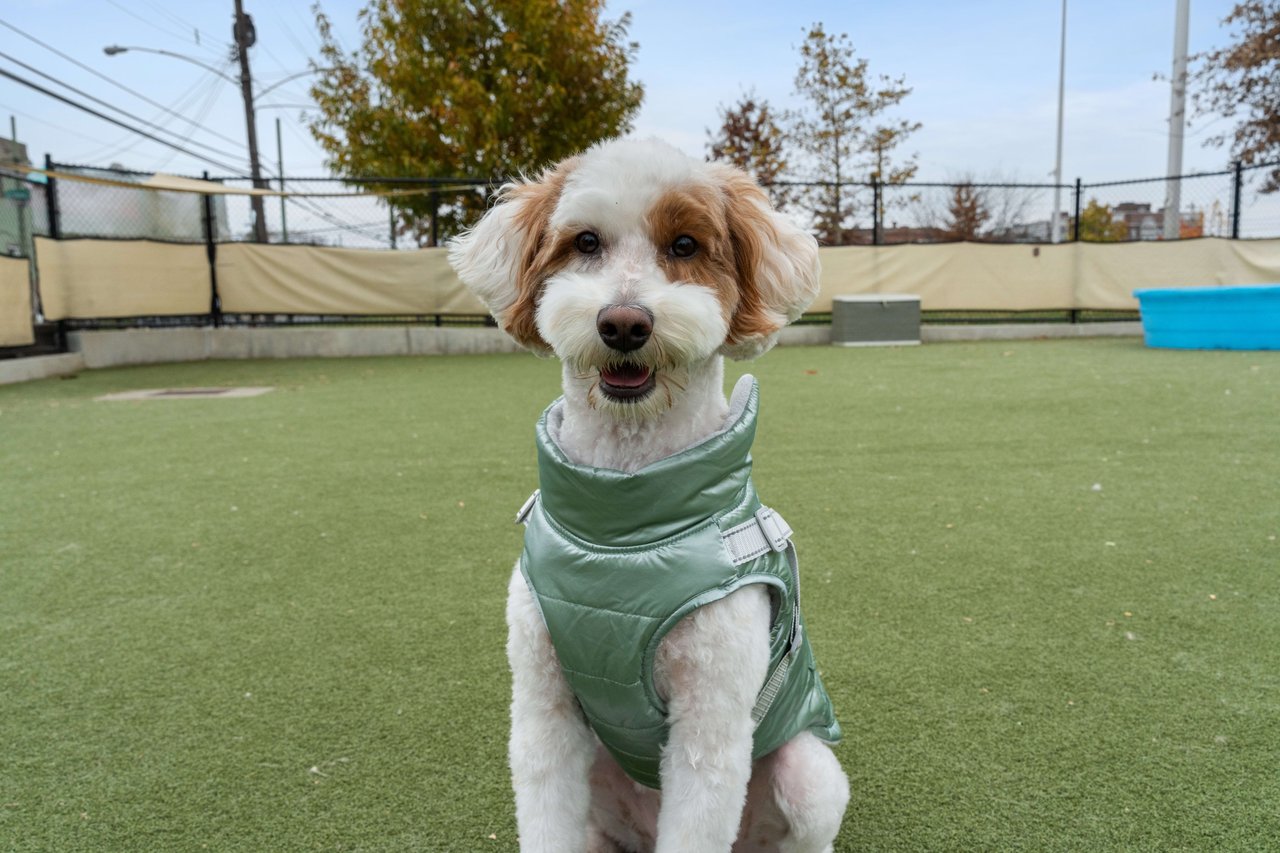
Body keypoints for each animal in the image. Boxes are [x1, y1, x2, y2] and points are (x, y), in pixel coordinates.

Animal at [450, 139, 849, 850]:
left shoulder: (709, 725)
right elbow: (545, 815)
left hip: (809, 775)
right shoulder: (542, 709)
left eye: (685, 244)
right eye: (585, 242)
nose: (624, 323)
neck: (621, 526)